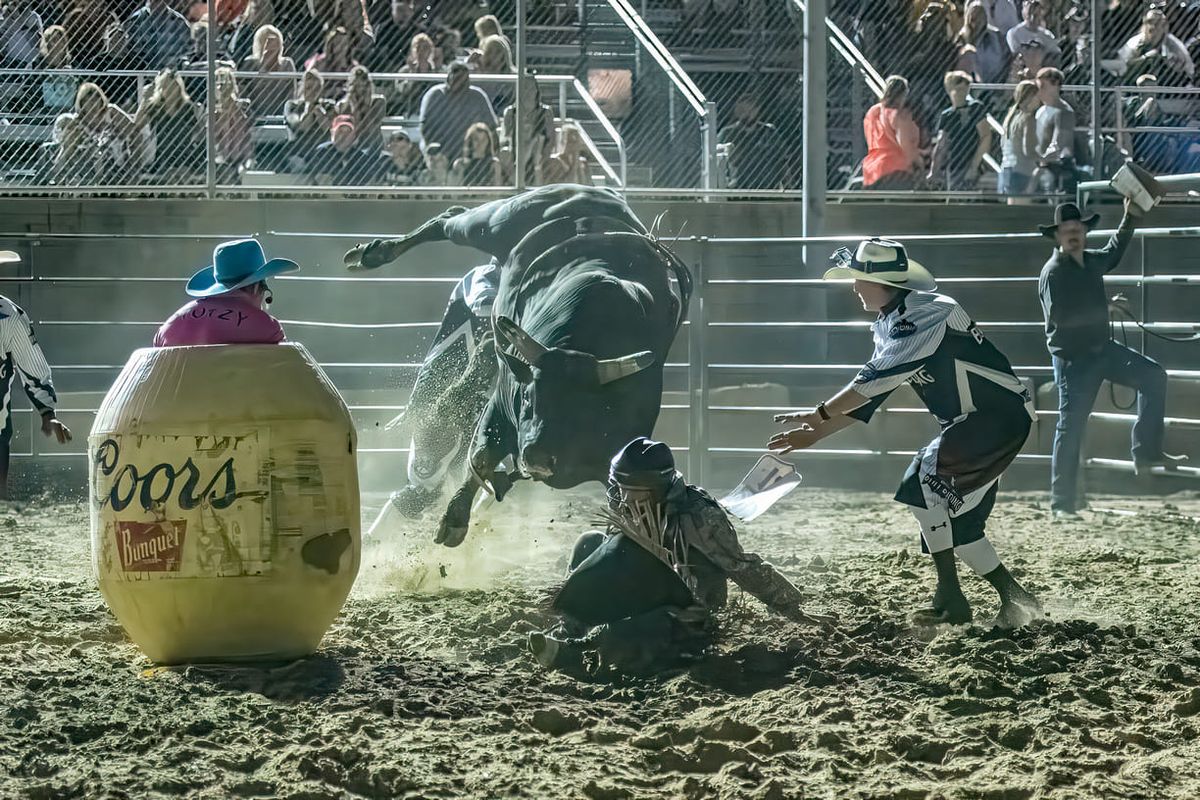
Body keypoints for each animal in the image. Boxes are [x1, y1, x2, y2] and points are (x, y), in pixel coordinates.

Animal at [345, 187, 696, 546]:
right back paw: (370, 254)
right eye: (528, 398)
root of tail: (593, 191)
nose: (537, 458)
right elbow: (482, 454)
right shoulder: (502, 401)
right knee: (449, 219)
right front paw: (453, 520)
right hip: (493, 224)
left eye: (583, 410)